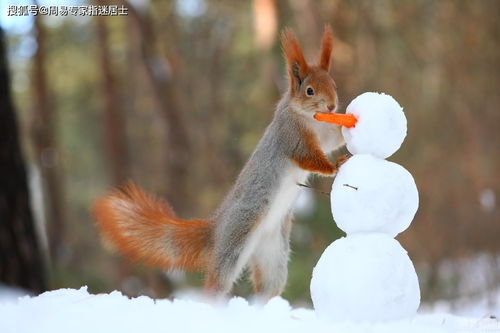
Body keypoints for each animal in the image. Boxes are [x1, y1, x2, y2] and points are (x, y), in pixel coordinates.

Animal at [92, 25, 346, 298]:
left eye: (334, 84)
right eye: (309, 91)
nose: (332, 106)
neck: (311, 119)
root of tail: (217, 229)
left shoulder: (325, 135)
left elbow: (334, 140)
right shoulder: (291, 137)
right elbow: (309, 159)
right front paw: (335, 166)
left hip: (272, 253)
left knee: (267, 287)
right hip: (234, 244)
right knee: (217, 282)